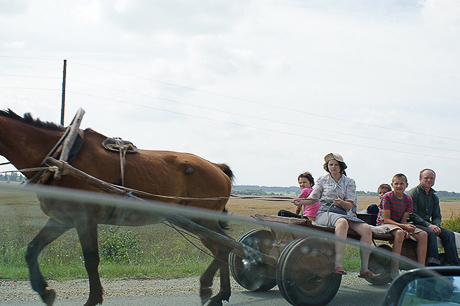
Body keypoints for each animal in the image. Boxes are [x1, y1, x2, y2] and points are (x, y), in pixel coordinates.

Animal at [0, 110, 235, 306]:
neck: (62, 157)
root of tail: (217, 166)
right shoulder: (61, 219)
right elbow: (32, 249)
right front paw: (45, 291)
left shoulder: (84, 218)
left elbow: (91, 260)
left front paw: (92, 299)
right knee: (223, 246)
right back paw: (221, 293)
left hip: (201, 220)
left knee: (225, 246)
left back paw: (207, 286)